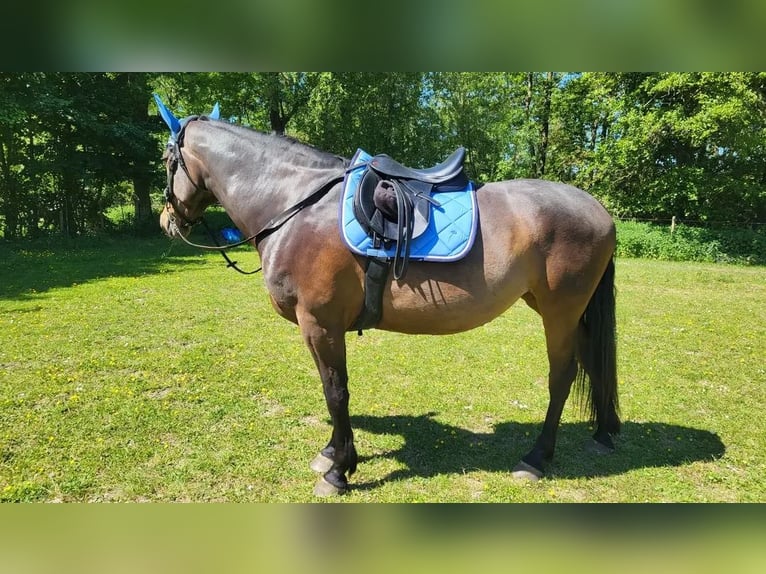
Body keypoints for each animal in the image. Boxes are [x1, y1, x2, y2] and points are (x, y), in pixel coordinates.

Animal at [154, 98, 620, 496]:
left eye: (167, 160)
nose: (167, 221)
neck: (295, 203)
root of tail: (600, 210)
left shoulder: (320, 323)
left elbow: (336, 391)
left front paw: (339, 470)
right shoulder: (320, 327)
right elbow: (331, 387)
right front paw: (331, 453)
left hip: (560, 311)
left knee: (562, 375)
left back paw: (536, 458)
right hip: (559, 308)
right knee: (593, 362)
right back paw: (603, 432)